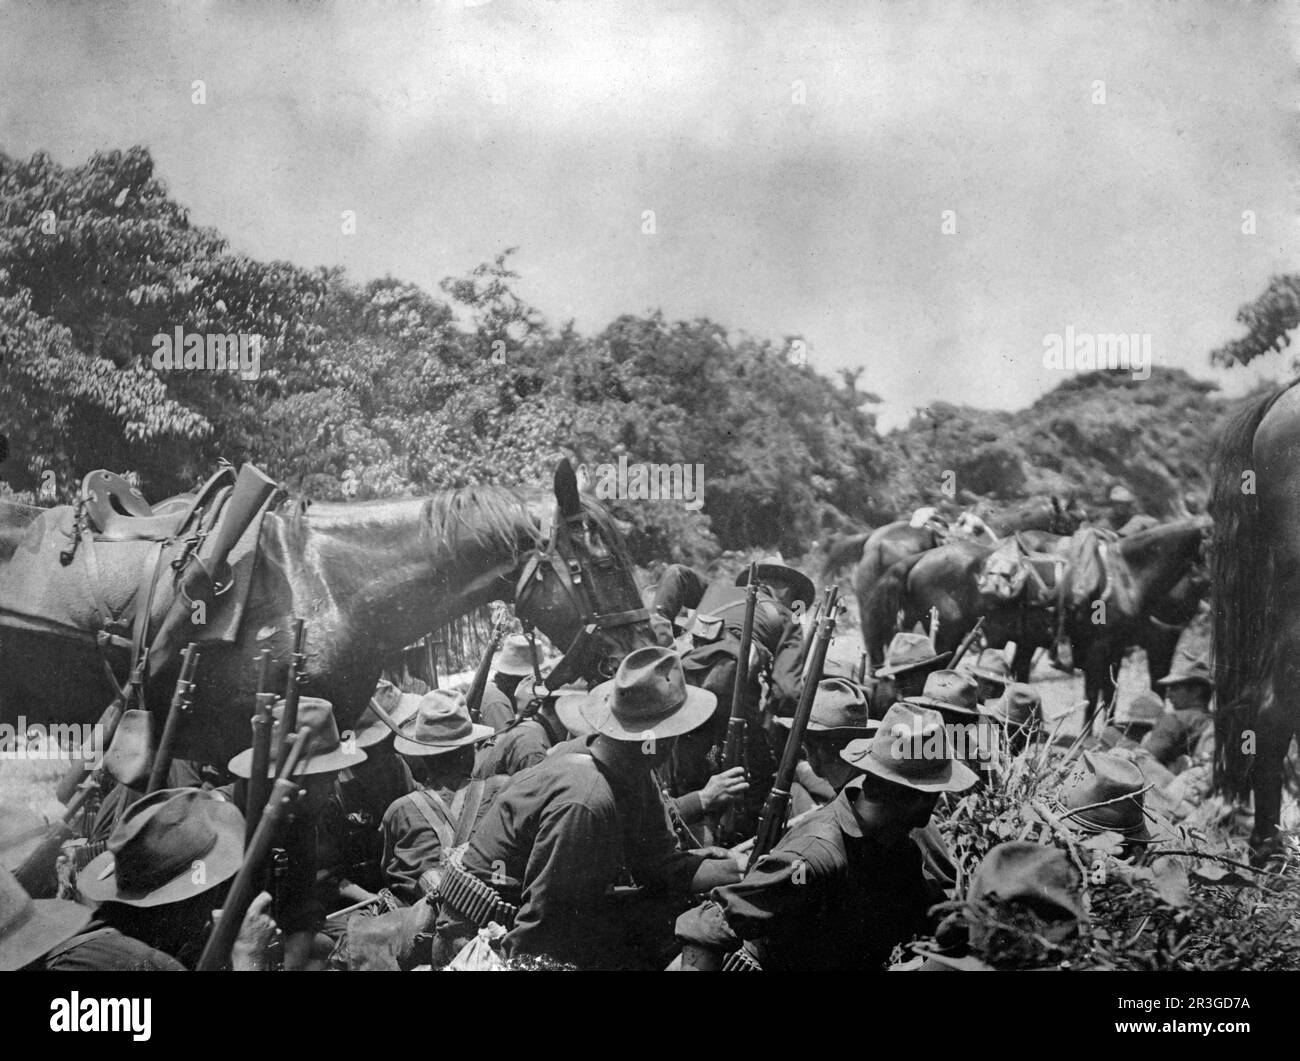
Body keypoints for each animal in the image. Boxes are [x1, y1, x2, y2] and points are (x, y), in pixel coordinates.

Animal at [863, 522, 1206, 728]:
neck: (1126, 575)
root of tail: (921, 558)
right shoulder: (1101, 648)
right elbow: (1095, 692)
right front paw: (1087, 738)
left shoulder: (1115, 649)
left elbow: (1109, 693)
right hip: (946, 633)